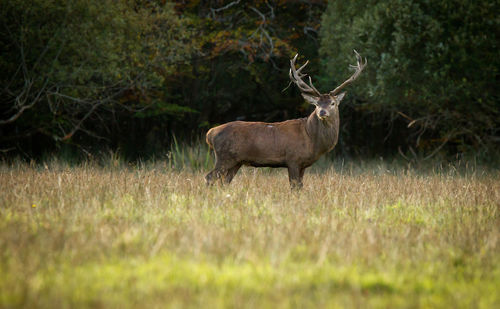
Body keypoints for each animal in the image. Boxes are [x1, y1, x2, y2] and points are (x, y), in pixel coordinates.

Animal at [205, 50, 366, 188]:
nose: (322, 112)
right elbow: (294, 187)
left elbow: (300, 186)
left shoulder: (302, 164)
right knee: (209, 177)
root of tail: (210, 133)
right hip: (224, 156)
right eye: (316, 104)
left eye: (332, 103)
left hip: (236, 161)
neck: (311, 138)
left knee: (224, 181)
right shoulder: (293, 159)